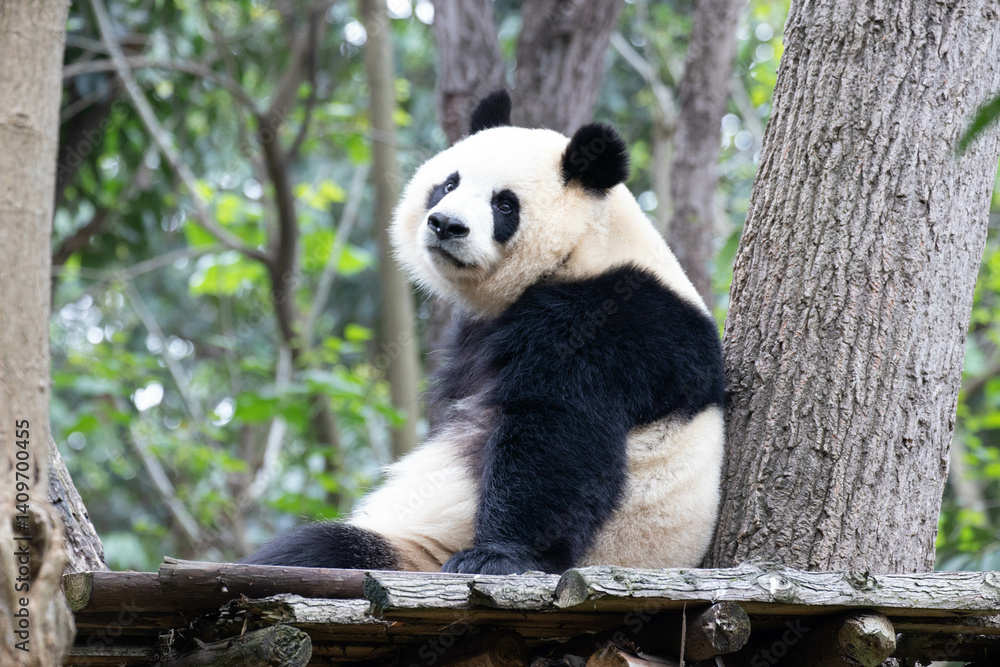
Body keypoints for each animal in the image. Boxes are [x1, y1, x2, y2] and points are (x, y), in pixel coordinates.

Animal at [244, 90, 725, 575]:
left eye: (504, 204)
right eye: (448, 184)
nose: (446, 225)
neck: (585, 247)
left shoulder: (609, 323)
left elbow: (558, 430)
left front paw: (497, 555)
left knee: (317, 548)